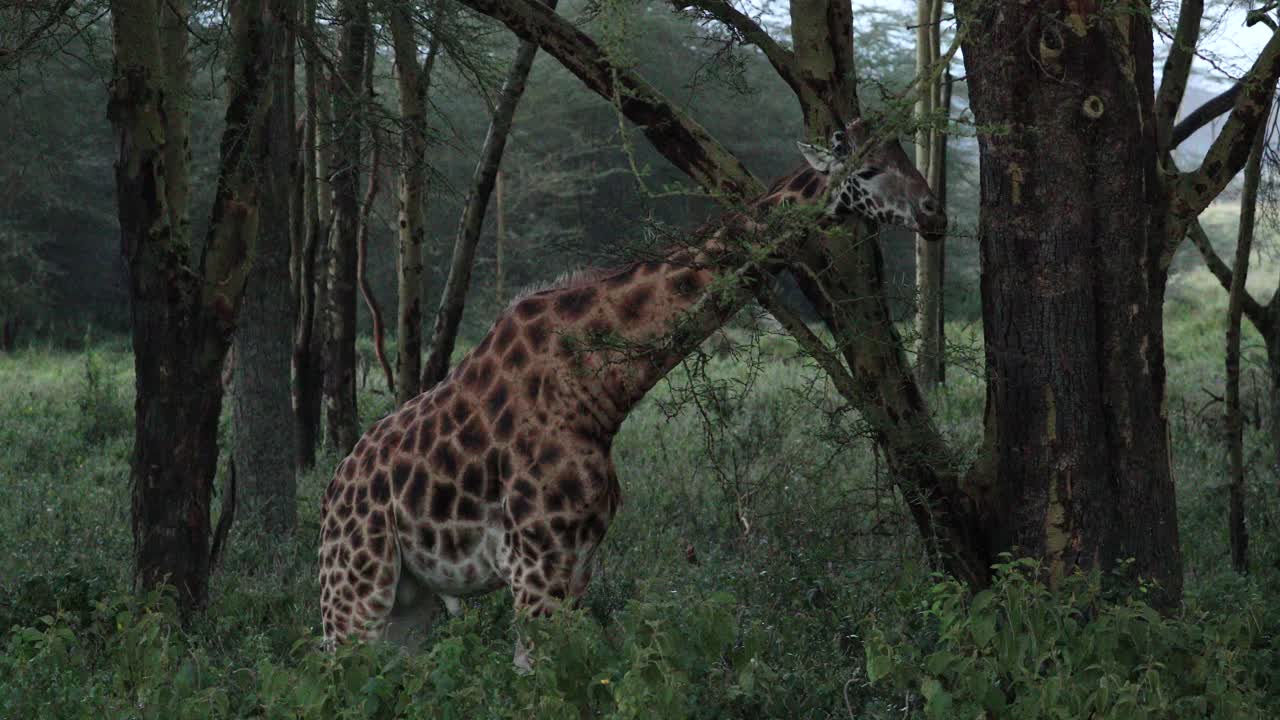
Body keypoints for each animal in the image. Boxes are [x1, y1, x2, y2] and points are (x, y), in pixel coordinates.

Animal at [317, 119, 945, 658]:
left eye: (903, 154)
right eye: (865, 170)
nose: (933, 212)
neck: (597, 389)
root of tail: (332, 491)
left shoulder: (577, 564)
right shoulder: (536, 564)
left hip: (410, 603)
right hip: (354, 591)